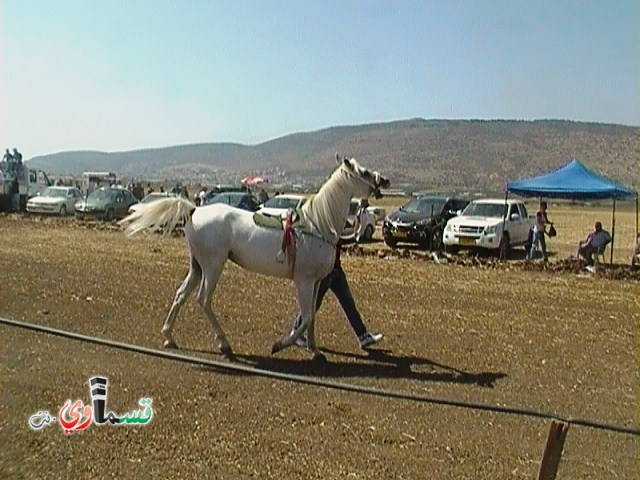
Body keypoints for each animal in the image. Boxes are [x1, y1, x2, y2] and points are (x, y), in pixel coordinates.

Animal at [119, 156, 390, 358]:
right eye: (364, 172)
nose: (385, 180)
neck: (317, 224)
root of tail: (194, 209)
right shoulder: (303, 281)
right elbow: (307, 317)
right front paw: (279, 344)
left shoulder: (315, 282)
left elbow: (311, 317)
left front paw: (314, 351)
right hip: (213, 266)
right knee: (203, 300)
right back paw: (224, 345)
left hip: (197, 266)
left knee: (181, 295)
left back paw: (169, 337)